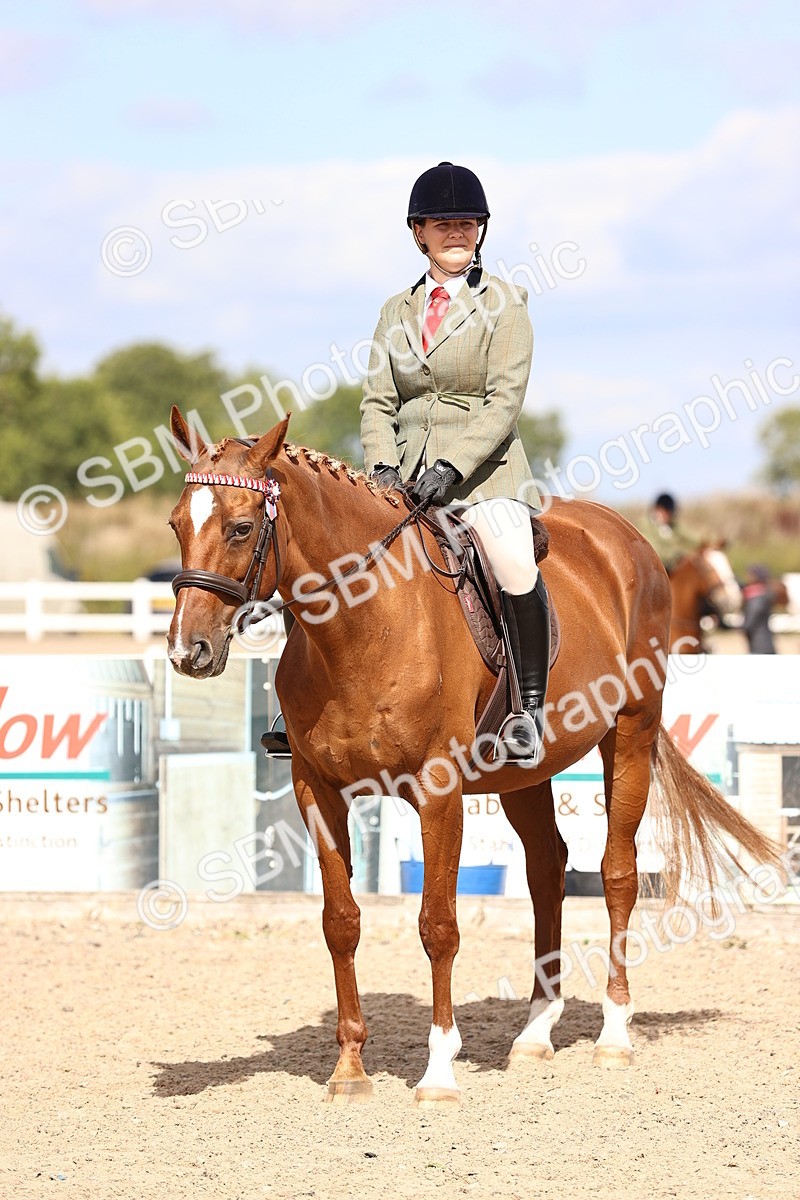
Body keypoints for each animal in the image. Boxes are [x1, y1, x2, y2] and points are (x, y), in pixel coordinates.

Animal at [166, 407, 778, 1106]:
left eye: (241, 529)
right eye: (177, 525)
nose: (188, 651)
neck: (360, 626)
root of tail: (627, 538)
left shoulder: (438, 791)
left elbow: (439, 925)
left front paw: (438, 1072)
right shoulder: (315, 788)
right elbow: (340, 922)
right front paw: (349, 1069)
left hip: (632, 733)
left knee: (617, 872)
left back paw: (614, 1034)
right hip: (524, 775)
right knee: (547, 869)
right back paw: (536, 1032)